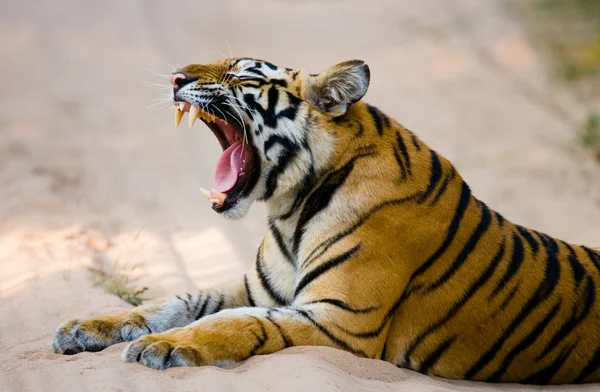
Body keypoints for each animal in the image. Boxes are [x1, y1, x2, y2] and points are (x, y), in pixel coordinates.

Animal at [52, 56, 600, 384]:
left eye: (241, 76)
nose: (174, 79)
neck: (289, 207)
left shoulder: (340, 319)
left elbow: (234, 321)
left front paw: (163, 346)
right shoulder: (258, 288)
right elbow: (180, 301)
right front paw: (87, 326)